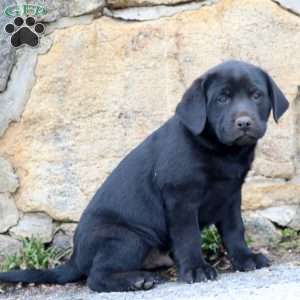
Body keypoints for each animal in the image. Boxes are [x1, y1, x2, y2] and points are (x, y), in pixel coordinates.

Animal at [0, 59, 288, 292]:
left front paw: (246, 258)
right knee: (96, 276)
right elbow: (189, 237)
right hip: (127, 237)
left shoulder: (230, 195)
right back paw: (137, 281)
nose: (244, 122)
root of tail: (75, 258)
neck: (221, 151)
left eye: (256, 95)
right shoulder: (180, 199)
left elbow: (234, 230)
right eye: (222, 98)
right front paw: (196, 269)